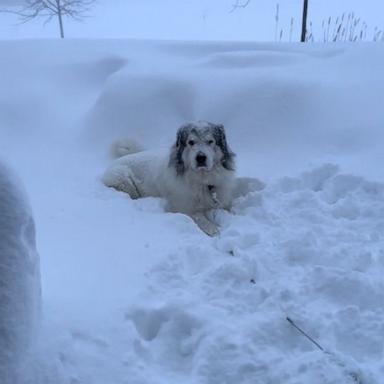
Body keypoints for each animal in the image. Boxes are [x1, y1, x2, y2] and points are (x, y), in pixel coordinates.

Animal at [102, 122, 258, 237]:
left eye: (210, 141)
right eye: (191, 142)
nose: (201, 157)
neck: (203, 180)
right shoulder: (182, 206)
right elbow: (198, 216)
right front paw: (213, 228)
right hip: (122, 178)